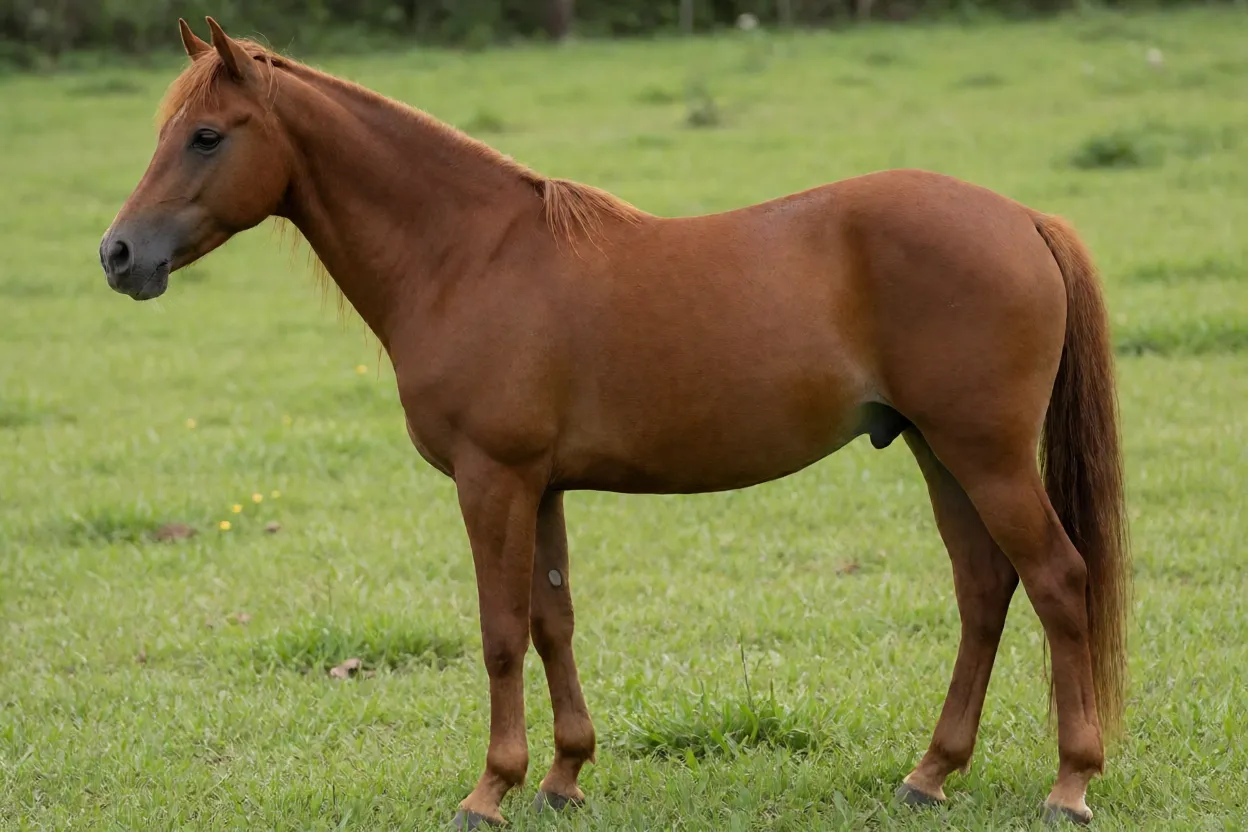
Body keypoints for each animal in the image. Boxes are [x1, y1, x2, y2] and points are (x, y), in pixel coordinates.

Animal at [100, 18, 1131, 828]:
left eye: (205, 136)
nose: (118, 255)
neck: (468, 257)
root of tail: (1022, 218)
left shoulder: (493, 480)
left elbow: (500, 632)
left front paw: (490, 791)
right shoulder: (542, 485)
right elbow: (552, 621)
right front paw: (562, 777)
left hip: (986, 456)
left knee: (1057, 580)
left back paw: (1070, 785)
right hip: (939, 452)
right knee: (984, 590)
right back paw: (930, 775)